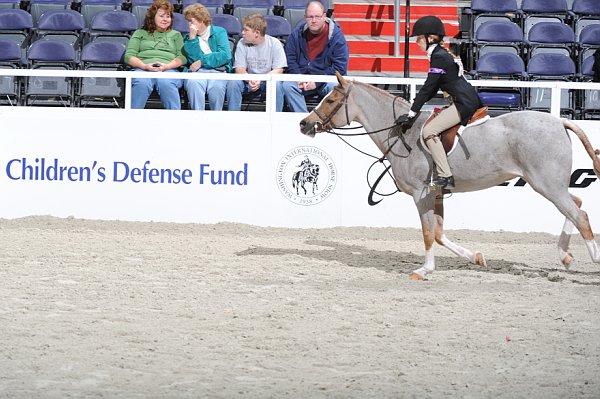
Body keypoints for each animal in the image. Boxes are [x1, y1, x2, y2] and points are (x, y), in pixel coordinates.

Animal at [296, 72, 600, 282]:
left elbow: (428, 233)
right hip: (551, 185)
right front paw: (476, 258)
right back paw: (565, 256)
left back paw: (593, 262)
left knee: (580, 216)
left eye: (331, 100)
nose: (304, 124)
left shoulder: (421, 194)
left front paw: (424, 270)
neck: (403, 132)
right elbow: (440, 234)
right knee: (577, 205)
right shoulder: (438, 193)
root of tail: (559, 121)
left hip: (546, 185)